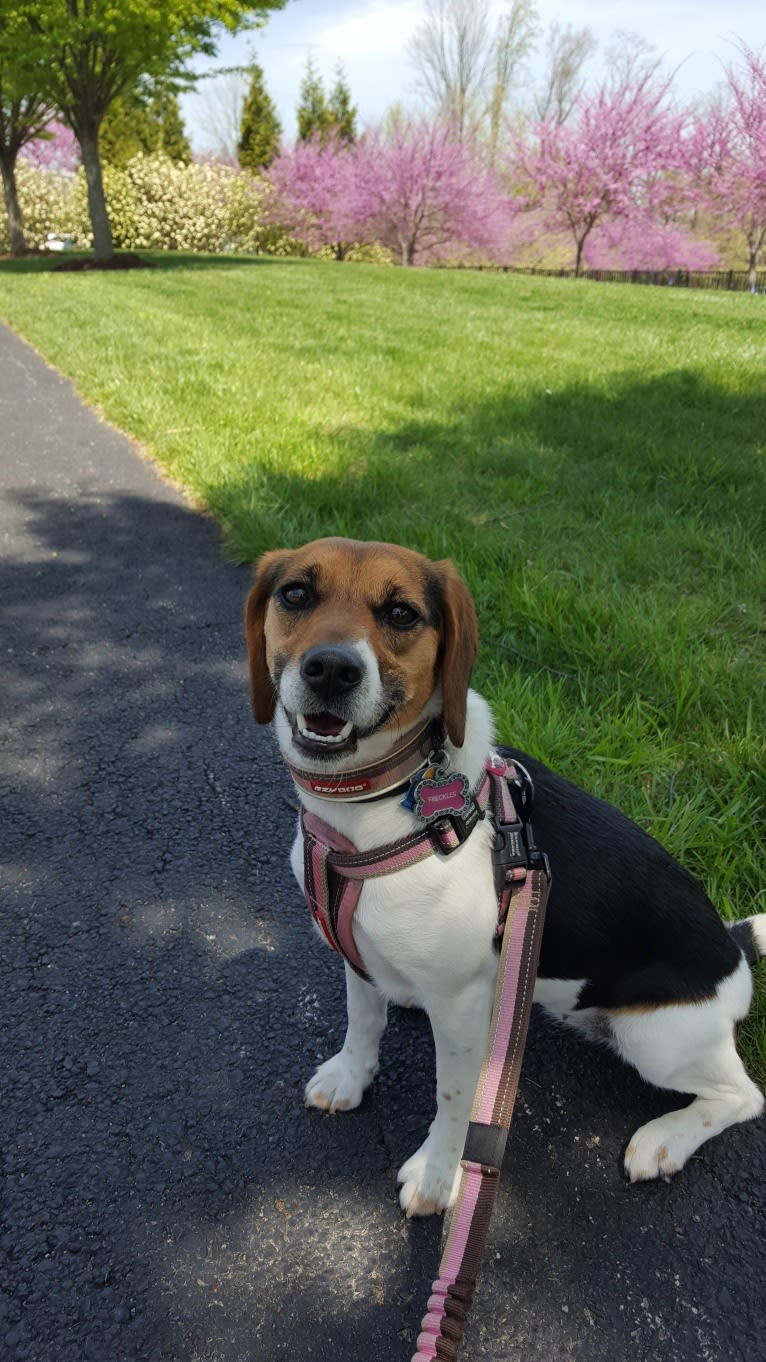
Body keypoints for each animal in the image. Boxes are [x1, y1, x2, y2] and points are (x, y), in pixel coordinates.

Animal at [243, 536, 763, 1220]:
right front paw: (351, 1077)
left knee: (743, 1096)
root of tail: (734, 949)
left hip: (656, 1036)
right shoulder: (356, 955)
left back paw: (664, 1139)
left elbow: (454, 1098)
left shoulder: (462, 1010)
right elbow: (363, 1019)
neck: (374, 807)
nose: (331, 669)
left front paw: (439, 1176)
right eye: (297, 593)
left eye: (402, 613)